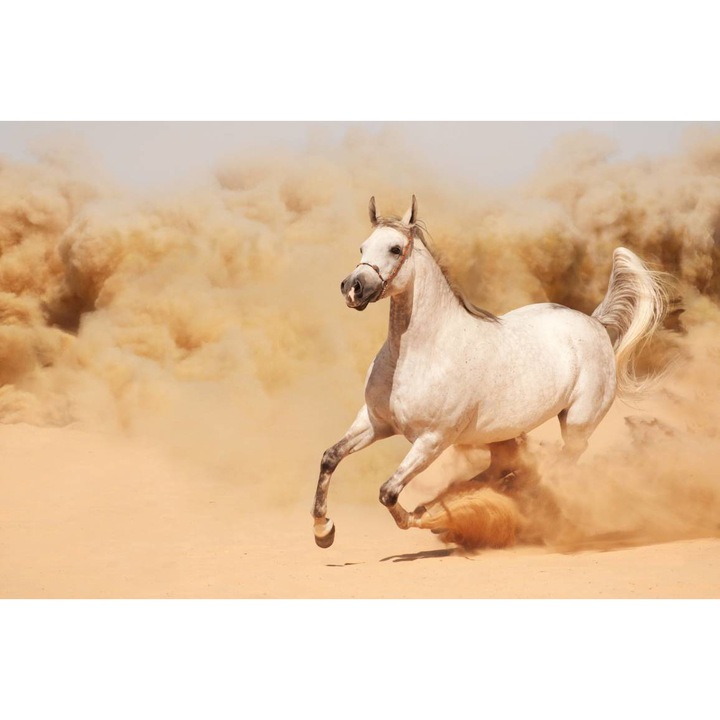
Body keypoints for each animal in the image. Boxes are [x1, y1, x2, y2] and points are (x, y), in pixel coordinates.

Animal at [312, 196, 669, 548]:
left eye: (395, 249)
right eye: (362, 247)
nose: (353, 288)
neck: (420, 354)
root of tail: (595, 324)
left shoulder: (432, 440)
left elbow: (388, 492)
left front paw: (425, 517)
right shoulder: (375, 422)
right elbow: (330, 457)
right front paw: (323, 530)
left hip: (578, 425)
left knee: (558, 466)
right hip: (506, 435)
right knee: (506, 469)